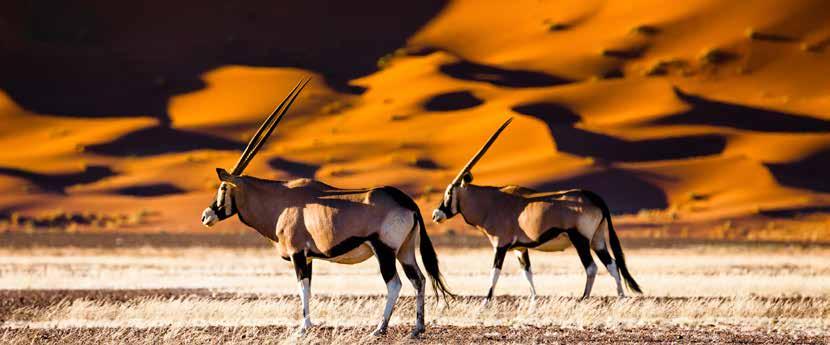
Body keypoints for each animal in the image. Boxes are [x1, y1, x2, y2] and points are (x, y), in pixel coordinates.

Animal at [202, 78, 456, 336]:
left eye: (223, 188)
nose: (206, 216)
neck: (281, 201)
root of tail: (406, 202)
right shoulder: (309, 258)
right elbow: (309, 288)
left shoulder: (297, 254)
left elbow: (302, 288)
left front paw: (304, 327)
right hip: (405, 250)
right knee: (419, 280)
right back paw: (418, 328)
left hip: (384, 249)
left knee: (395, 283)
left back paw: (380, 328)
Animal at [432, 118, 640, 304]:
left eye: (449, 192)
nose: (435, 215)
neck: (490, 202)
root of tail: (593, 197)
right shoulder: (520, 249)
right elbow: (527, 273)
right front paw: (533, 300)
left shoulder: (500, 246)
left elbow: (494, 274)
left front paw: (486, 303)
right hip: (597, 240)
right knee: (612, 265)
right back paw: (621, 298)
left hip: (580, 239)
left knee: (592, 267)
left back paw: (584, 298)